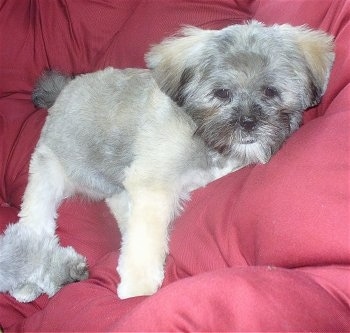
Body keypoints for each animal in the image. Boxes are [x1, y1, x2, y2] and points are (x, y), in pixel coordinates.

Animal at [0, 20, 334, 300]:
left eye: (271, 91)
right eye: (222, 93)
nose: (249, 122)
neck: (202, 132)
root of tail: (61, 92)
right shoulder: (153, 185)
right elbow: (147, 239)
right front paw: (138, 285)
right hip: (46, 178)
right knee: (33, 228)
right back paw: (28, 283)